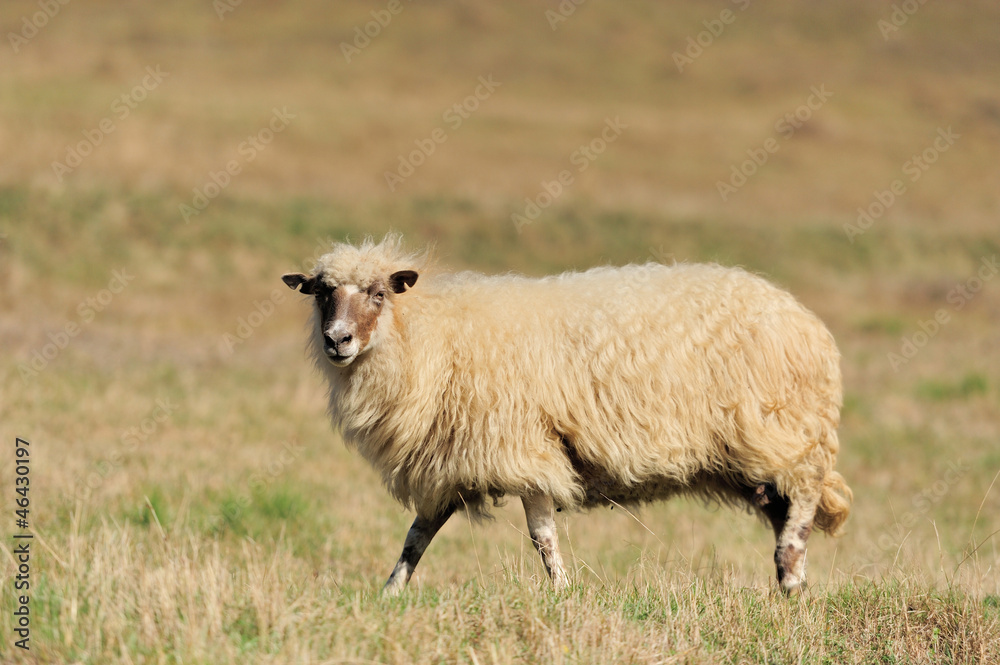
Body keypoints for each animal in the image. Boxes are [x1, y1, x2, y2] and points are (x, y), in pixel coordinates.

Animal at [282, 235, 852, 596]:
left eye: (379, 293)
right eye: (322, 294)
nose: (337, 341)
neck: (431, 335)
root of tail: (804, 319)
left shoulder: (526, 448)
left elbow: (542, 537)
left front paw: (561, 592)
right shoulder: (456, 462)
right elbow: (416, 537)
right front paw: (389, 595)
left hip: (780, 430)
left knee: (803, 497)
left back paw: (791, 579)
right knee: (782, 507)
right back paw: (786, 582)